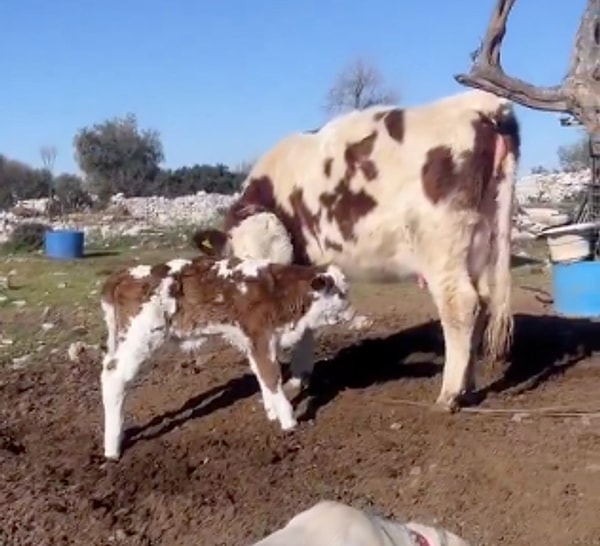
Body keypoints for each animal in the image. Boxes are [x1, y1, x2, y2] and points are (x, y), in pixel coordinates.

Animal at [97, 253, 366, 456]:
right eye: (339, 293)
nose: (351, 310)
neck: (281, 293)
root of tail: (126, 273)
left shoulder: (253, 343)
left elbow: (262, 376)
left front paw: (271, 413)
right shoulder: (260, 337)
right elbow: (271, 376)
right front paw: (289, 421)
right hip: (141, 337)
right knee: (114, 378)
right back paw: (112, 448)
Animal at [193, 89, 520, 410]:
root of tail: (483, 102)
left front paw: (295, 379)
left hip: (441, 244)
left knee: (461, 304)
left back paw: (449, 394)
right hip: (480, 240)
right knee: (483, 302)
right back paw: (469, 388)